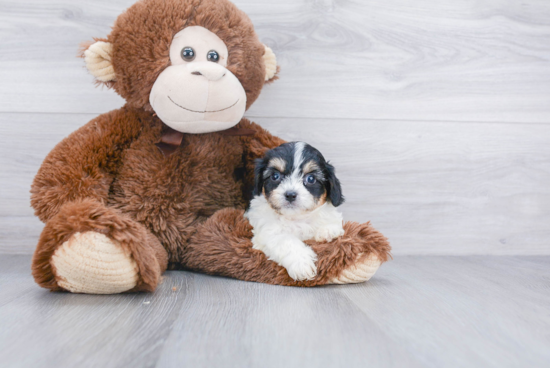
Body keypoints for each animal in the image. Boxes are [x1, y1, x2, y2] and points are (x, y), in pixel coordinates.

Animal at [248, 142, 348, 280]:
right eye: (275, 176)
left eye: (310, 179)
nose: (290, 194)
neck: (296, 217)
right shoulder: (267, 232)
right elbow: (286, 240)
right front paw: (301, 263)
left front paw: (327, 230)